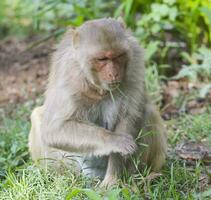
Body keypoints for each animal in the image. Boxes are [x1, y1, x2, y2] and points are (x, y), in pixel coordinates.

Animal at [28, 18, 166, 187]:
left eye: (119, 56)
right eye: (102, 59)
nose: (114, 73)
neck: (97, 87)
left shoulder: (135, 64)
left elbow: (128, 116)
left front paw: (113, 180)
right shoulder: (69, 76)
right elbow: (54, 130)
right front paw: (114, 140)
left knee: (147, 111)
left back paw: (145, 178)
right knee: (37, 116)